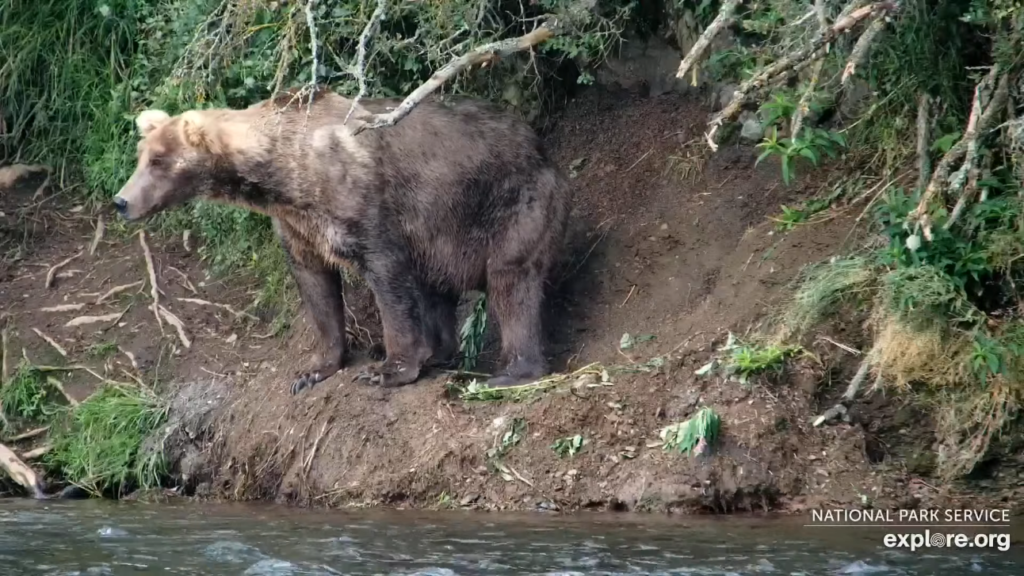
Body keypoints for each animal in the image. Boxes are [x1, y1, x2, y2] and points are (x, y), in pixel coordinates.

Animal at [116, 87, 573, 393]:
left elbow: (388, 279)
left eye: (158, 160)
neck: (279, 173)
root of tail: (541, 146)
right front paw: (314, 369)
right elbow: (316, 287)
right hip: (442, 235)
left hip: (508, 205)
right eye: (141, 156)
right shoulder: (299, 226)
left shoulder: (362, 205)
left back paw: (510, 372)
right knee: (438, 289)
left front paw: (389, 368)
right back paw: (443, 353)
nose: (121, 200)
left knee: (512, 283)